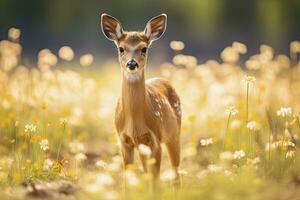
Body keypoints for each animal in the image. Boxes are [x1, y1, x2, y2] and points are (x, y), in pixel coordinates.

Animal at [101, 12, 180, 181]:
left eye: (144, 48)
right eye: (121, 48)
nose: (132, 64)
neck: (134, 123)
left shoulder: (155, 140)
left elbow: (155, 180)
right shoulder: (124, 141)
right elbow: (128, 178)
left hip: (174, 134)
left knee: (176, 172)